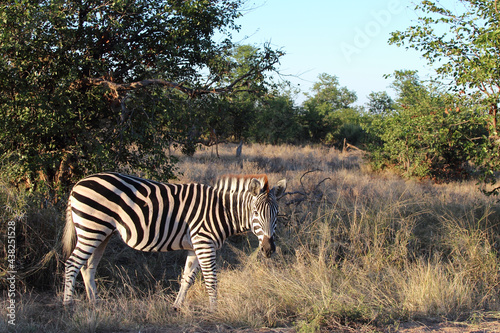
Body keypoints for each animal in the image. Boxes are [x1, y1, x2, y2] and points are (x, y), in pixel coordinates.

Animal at [61, 172, 288, 308]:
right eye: (255, 213)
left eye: (276, 214)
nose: (268, 249)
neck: (220, 211)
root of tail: (78, 184)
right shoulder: (204, 243)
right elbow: (211, 279)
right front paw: (214, 310)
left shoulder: (195, 246)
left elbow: (187, 278)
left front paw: (177, 306)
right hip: (92, 229)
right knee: (72, 264)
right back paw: (67, 305)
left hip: (102, 233)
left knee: (87, 267)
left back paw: (95, 304)